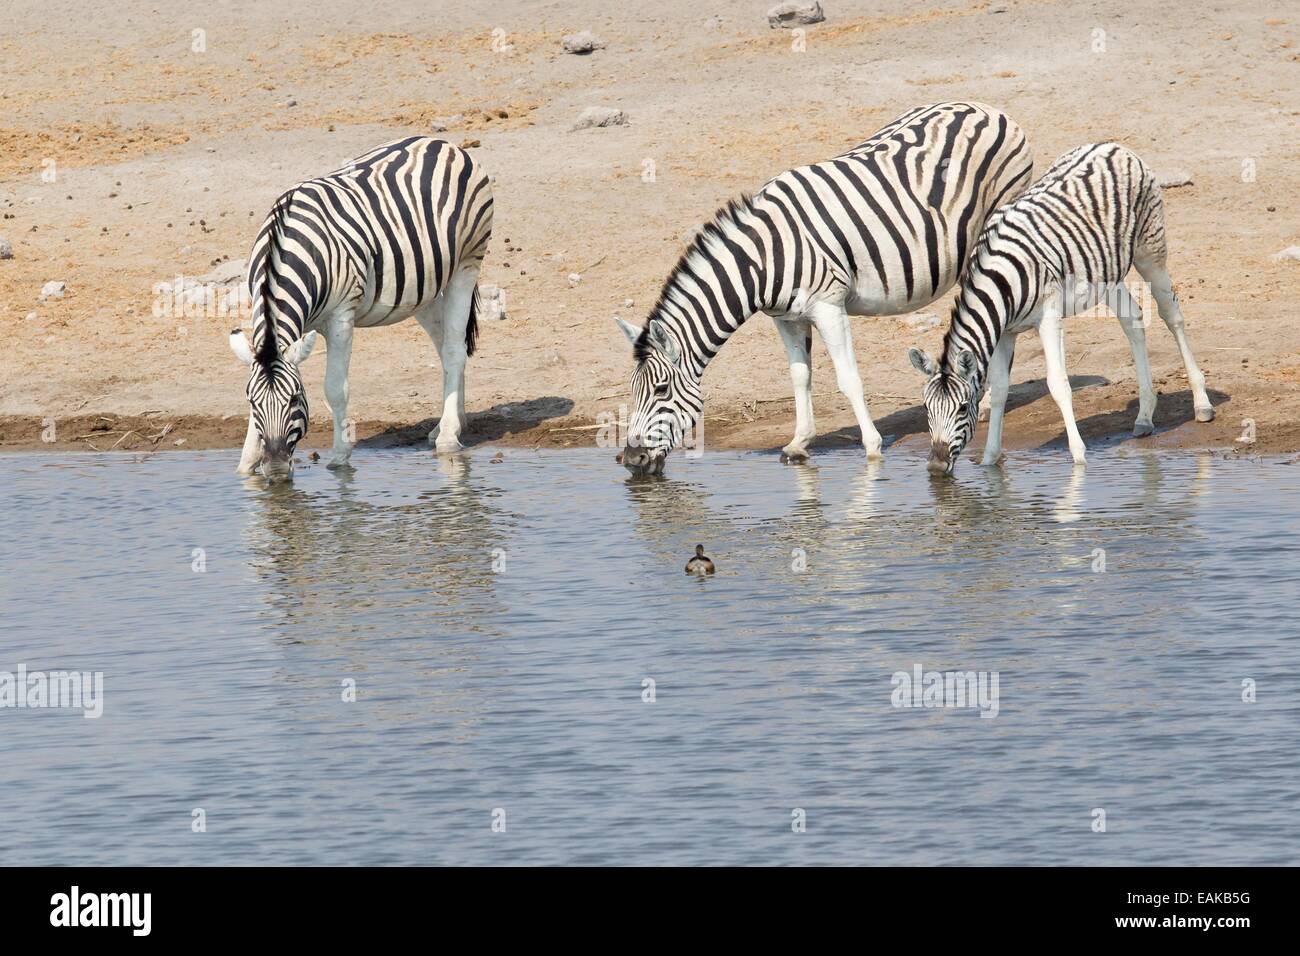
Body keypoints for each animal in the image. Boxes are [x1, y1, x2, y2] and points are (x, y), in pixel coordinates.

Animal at [228, 134, 491, 478]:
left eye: (295, 399)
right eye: (252, 403)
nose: (275, 470)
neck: (284, 249)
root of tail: (441, 142)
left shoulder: (341, 316)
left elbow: (334, 389)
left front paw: (340, 458)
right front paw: (247, 464)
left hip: (467, 263)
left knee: (454, 350)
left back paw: (448, 436)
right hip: (424, 286)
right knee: (446, 345)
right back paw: (452, 423)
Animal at [613, 102, 1029, 476]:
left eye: (661, 390)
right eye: (632, 389)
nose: (632, 459)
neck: (763, 260)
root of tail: (986, 109)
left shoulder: (829, 305)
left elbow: (848, 379)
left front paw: (873, 449)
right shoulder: (785, 318)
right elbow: (800, 375)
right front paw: (800, 442)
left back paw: (985, 400)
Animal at [909, 141, 1211, 476]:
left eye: (962, 408)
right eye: (926, 409)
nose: (936, 467)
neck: (1000, 281)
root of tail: (1113, 145)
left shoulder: (1048, 316)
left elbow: (1058, 383)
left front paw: (1079, 458)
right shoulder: (1004, 332)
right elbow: (999, 390)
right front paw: (990, 461)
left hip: (1150, 251)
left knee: (1172, 315)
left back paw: (1201, 403)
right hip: (1108, 272)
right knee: (1132, 320)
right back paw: (1144, 416)